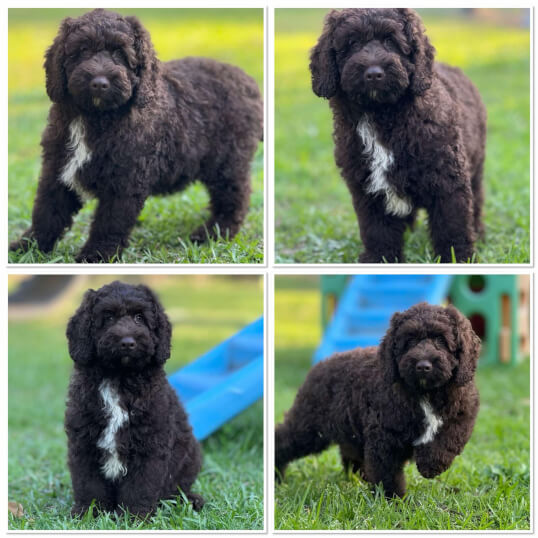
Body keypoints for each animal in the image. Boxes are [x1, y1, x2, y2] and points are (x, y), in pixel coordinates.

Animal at [64, 280, 203, 516]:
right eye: (108, 317)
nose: (128, 342)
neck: (120, 378)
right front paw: (88, 513)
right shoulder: (83, 442)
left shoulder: (150, 445)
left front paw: (134, 516)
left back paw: (191, 500)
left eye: (139, 317)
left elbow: (140, 486)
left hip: (191, 457)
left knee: (176, 489)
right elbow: (88, 484)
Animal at [274, 302, 480, 494]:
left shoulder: (464, 411)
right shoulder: (384, 436)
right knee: (283, 439)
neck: (425, 392)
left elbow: (450, 437)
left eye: (440, 339)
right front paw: (391, 500)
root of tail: (321, 365)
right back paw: (276, 476)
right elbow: (387, 472)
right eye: (409, 340)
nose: (423, 366)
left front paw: (430, 464)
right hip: (309, 426)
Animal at [306, 7, 486, 260]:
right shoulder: (368, 189)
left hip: (476, 167)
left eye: (391, 41)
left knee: (476, 201)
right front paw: (380, 259)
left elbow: (453, 226)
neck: (382, 116)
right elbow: (378, 230)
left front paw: (457, 259)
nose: (373, 73)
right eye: (352, 43)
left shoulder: (449, 181)